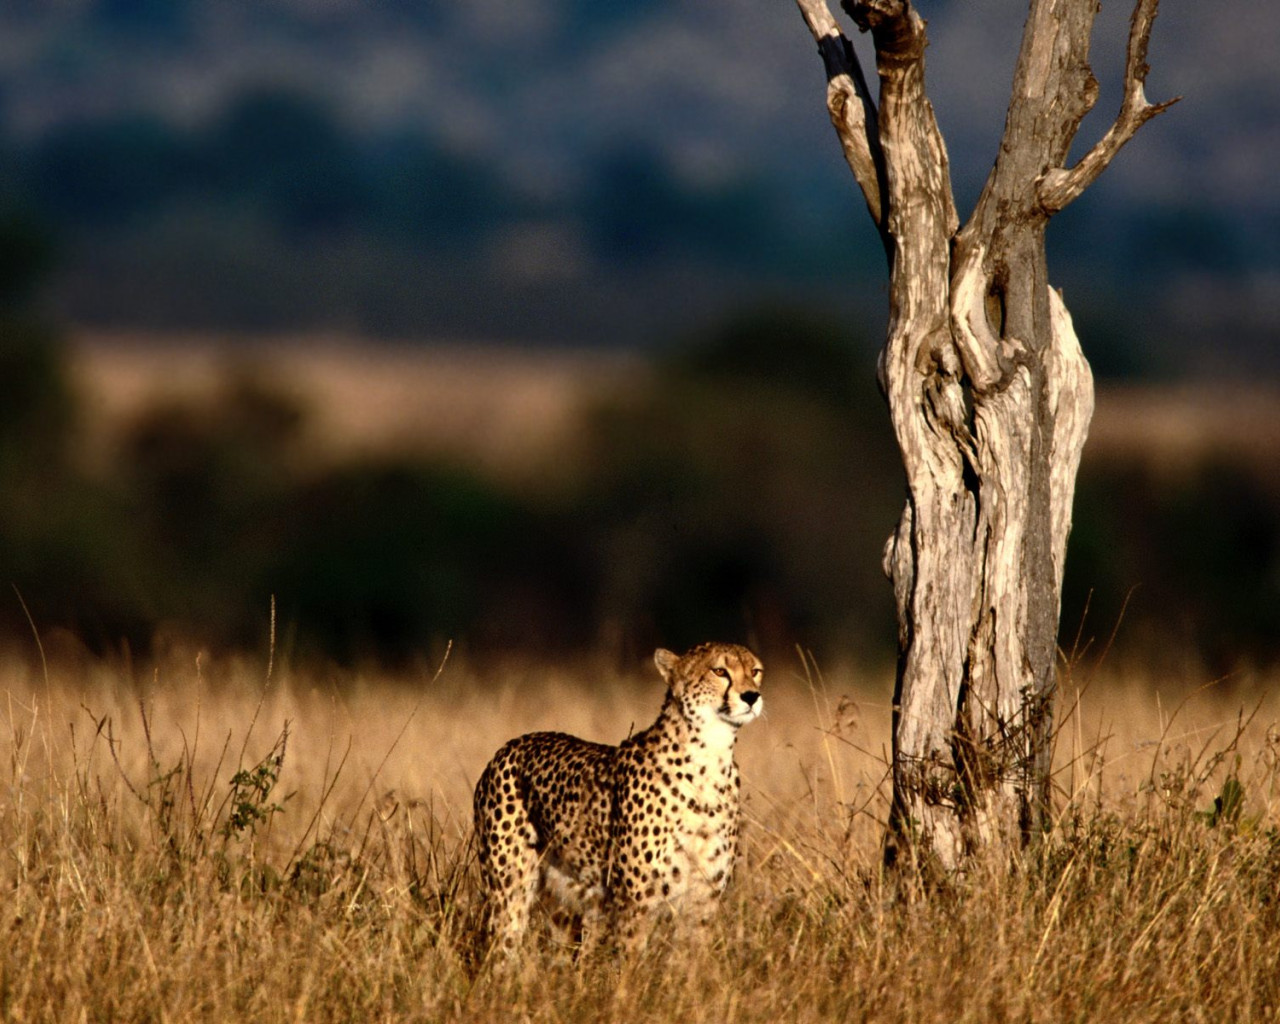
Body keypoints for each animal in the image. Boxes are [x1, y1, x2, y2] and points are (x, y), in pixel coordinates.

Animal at [476, 645, 762, 957]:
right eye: (719, 671)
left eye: (755, 671)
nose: (752, 696)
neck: (710, 759)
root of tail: (511, 744)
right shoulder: (634, 903)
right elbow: (631, 962)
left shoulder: (702, 900)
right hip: (509, 890)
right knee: (501, 948)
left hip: (563, 899)